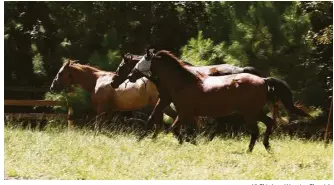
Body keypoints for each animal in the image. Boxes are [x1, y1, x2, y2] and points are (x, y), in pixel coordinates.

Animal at [49, 58, 177, 131]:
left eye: (60, 73)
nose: (52, 87)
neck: (97, 80)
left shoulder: (102, 109)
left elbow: (97, 126)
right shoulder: (109, 111)